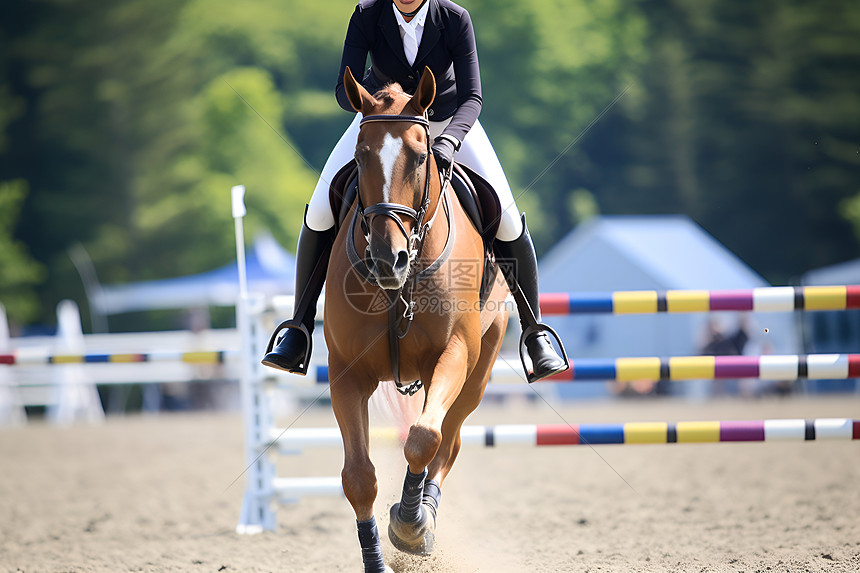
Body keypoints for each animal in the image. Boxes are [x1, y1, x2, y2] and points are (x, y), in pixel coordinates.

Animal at [326, 65, 508, 568]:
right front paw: (377, 560)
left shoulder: (455, 353)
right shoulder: (346, 373)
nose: (389, 260)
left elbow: (424, 438)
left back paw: (424, 516)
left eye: (421, 156)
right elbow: (358, 476)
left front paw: (410, 525)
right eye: (360, 156)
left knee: (449, 437)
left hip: (477, 373)